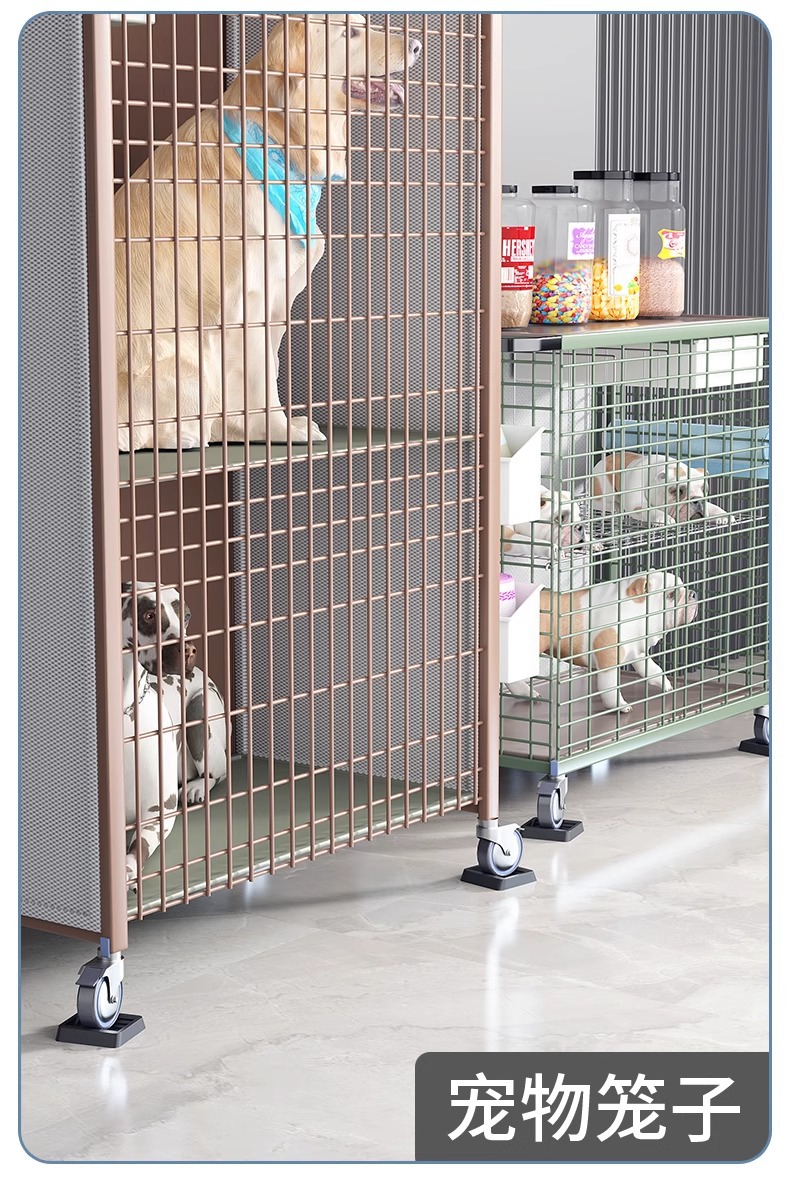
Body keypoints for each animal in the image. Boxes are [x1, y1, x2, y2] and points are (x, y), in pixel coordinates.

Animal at [116, 14, 421, 451]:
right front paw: (277, 430)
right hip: (183, 364)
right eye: (349, 32)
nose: (416, 45)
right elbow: (257, 377)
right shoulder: (245, 301)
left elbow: (269, 368)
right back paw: (184, 432)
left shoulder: (279, 294)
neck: (277, 141)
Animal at [536, 571, 698, 713]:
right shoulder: (609, 660)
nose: (693, 594)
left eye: (682, 584)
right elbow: (610, 688)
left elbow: (653, 670)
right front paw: (620, 706)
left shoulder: (638, 653)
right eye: (670, 595)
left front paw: (666, 684)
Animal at [591, 452, 730, 526]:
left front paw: (722, 515)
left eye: (704, 490)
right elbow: (651, 510)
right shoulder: (637, 505)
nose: (698, 500)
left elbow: (712, 506)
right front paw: (665, 518)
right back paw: (615, 507)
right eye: (678, 491)